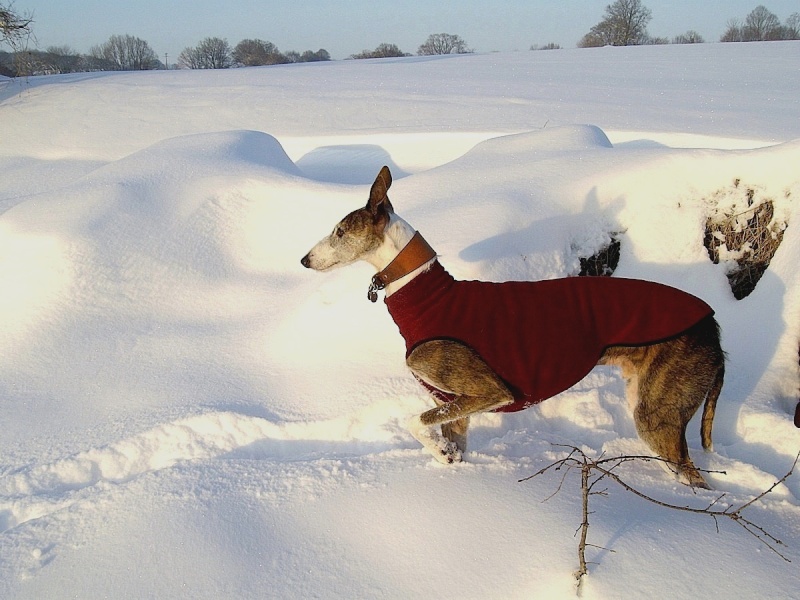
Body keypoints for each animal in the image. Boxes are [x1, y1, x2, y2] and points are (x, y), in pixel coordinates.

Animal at [302, 166, 724, 490]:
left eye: (340, 231)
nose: (304, 260)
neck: (424, 293)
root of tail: (713, 324)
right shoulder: (455, 406)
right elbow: (451, 444)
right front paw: (446, 457)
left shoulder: (489, 390)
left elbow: (413, 421)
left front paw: (438, 452)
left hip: (656, 415)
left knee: (693, 476)